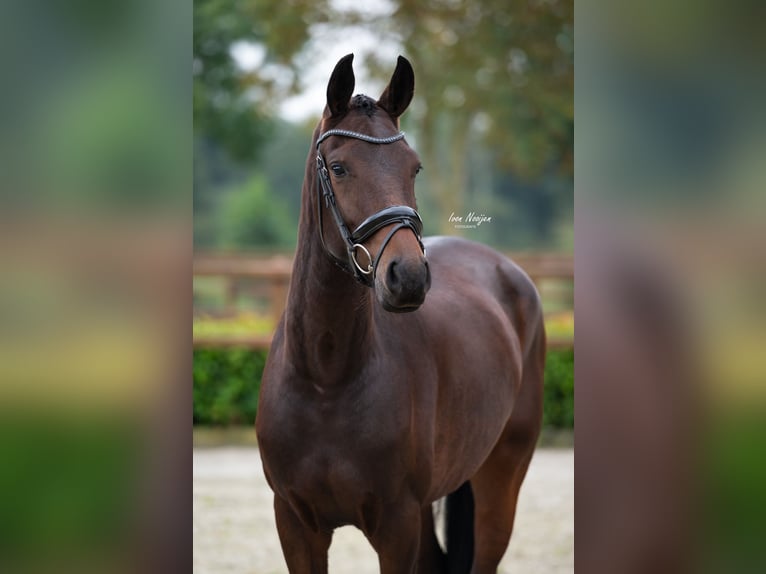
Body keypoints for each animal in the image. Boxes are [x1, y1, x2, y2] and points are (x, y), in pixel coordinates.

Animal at [258, 55, 544, 574]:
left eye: (414, 167)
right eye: (339, 167)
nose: (408, 276)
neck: (326, 379)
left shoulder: (396, 526)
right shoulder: (295, 524)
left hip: (501, 477)